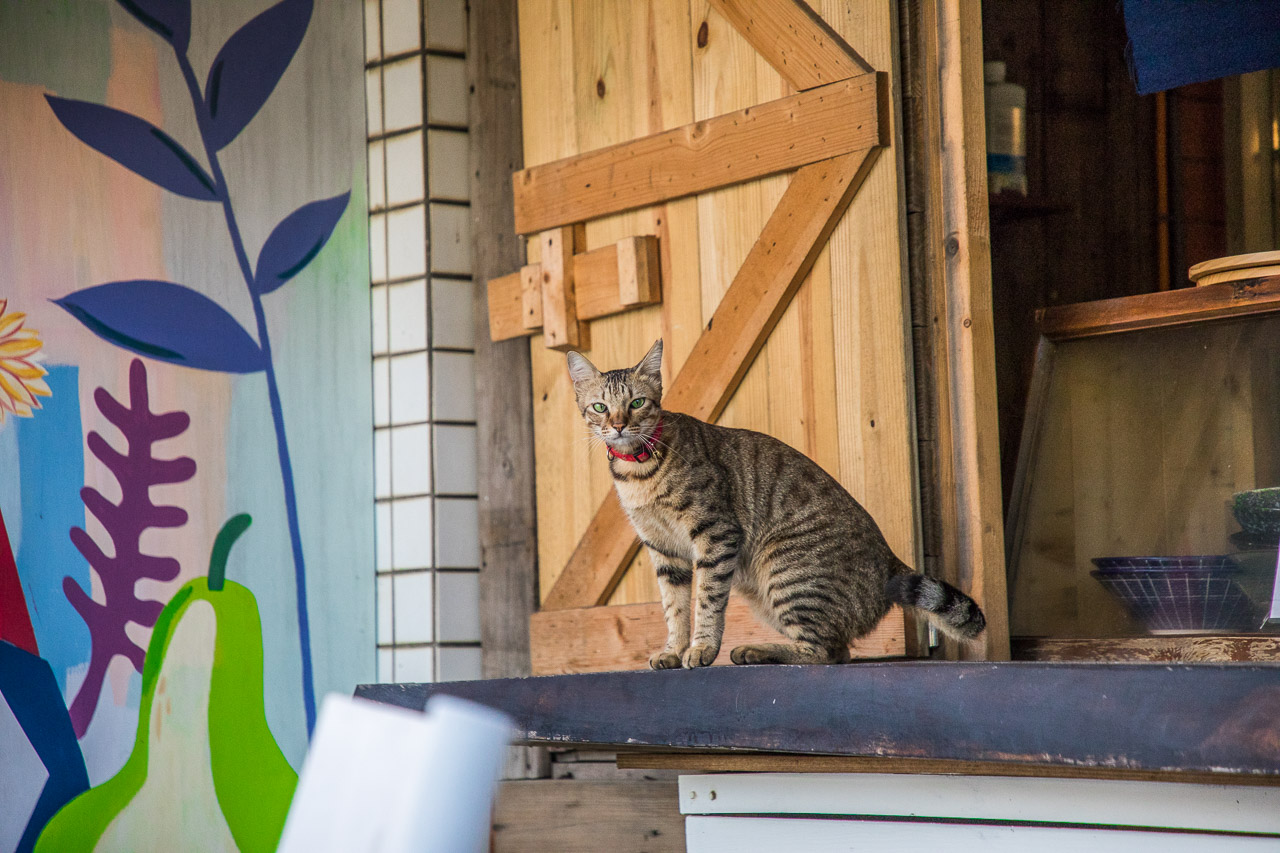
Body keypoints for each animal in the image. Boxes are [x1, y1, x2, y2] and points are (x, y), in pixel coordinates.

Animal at [565, 338, 983, 666]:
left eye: (637, 403)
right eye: (600, 407)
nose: (619, 425)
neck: (638, 471)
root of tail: (890, 562)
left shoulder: (715, 532)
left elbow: (706, 600)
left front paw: (701, 648)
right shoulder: (663, 549)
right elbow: (675, 608)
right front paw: (673, 649)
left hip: (786, 569)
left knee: (822, 652)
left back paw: (755, 651)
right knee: (838, 651)